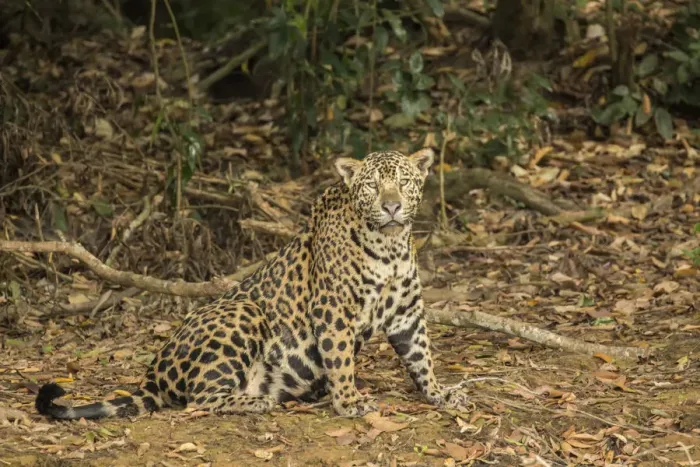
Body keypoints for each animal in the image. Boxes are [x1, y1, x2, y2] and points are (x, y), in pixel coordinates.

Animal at [35, 148, 467, 420]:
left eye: (405, 183)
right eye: (373, 186)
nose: (392, 206)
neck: (390, 246)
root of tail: (153, 374)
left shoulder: (407, 315)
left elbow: (422, 356)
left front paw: (440, 392)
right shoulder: (333, 311)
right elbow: (341, 359)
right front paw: (349, 401)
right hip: (243, 311)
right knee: (200, 399)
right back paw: (256, 403)